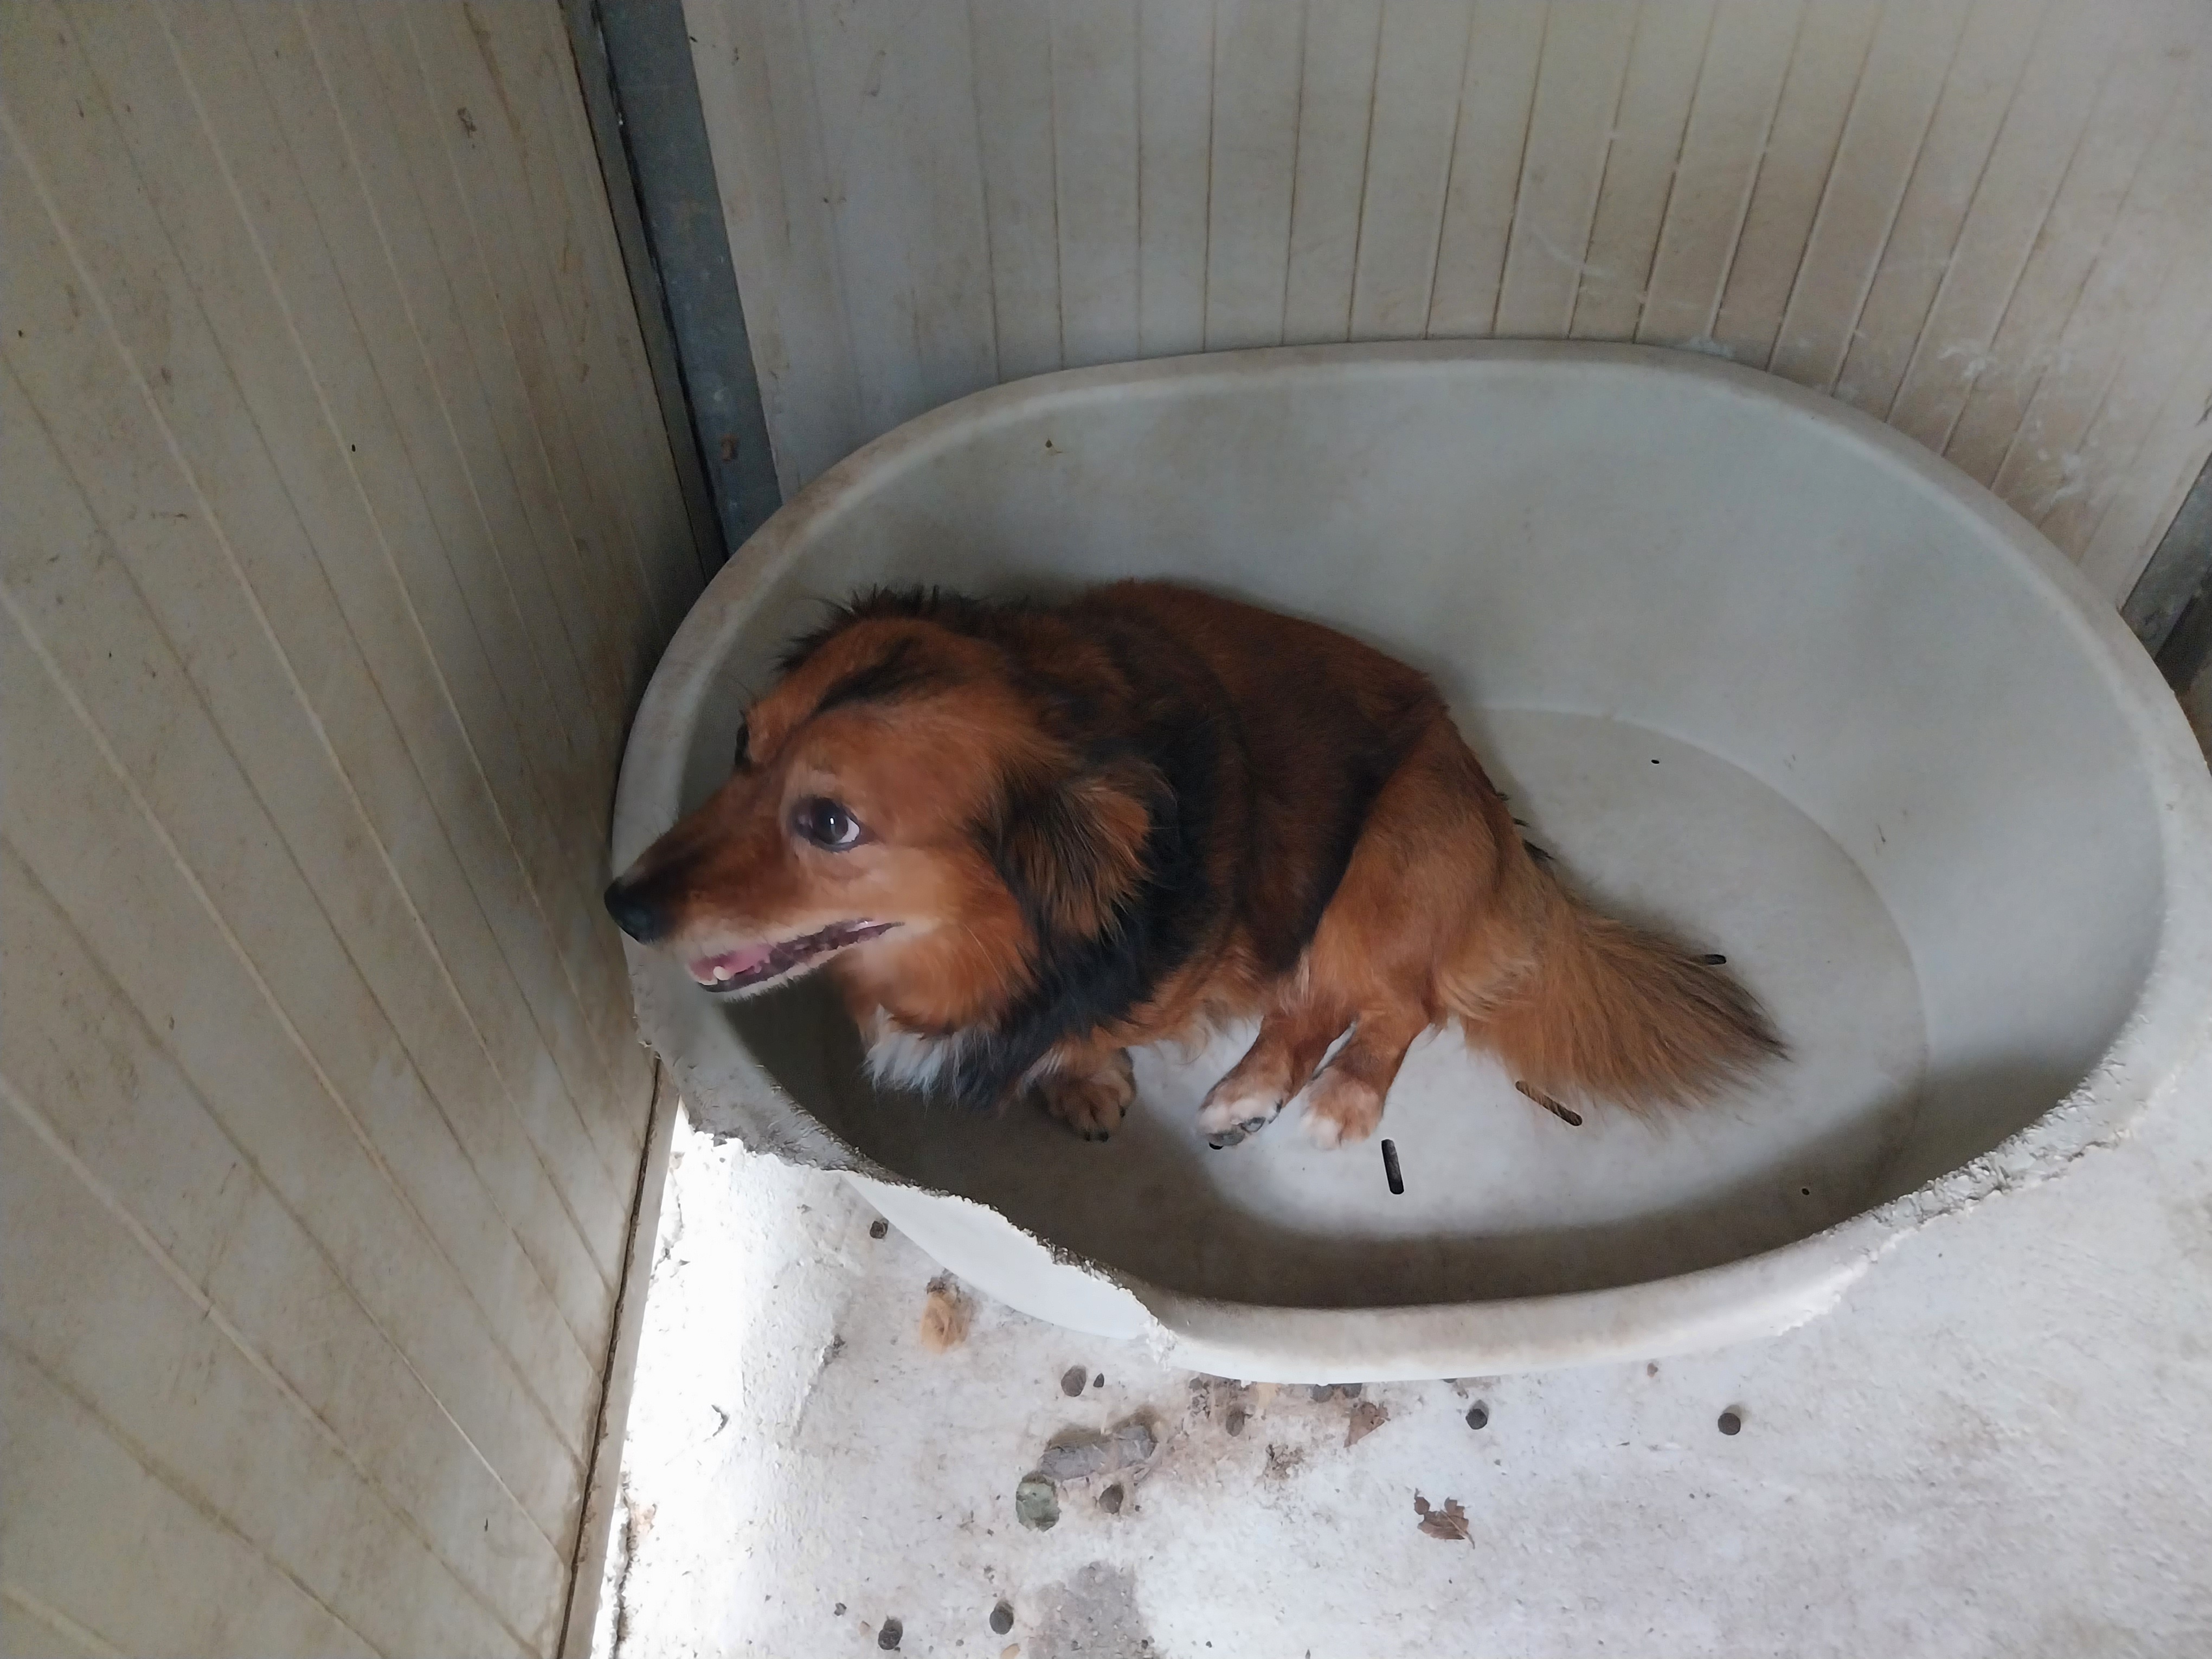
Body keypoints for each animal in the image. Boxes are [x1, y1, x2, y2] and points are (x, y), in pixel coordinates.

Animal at [605, 582, 1779, 1148]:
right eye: (741, 746)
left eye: (830, 823)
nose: (620, 905)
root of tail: (1494, 813)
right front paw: (1077, 1083)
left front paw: (1084, 1072)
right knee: (1317, 1003)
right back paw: (1250, 1096)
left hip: (1387, 863)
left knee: (1393, 1004)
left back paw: (1331, 1101)